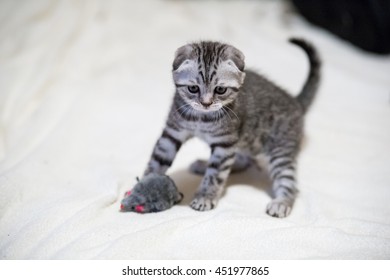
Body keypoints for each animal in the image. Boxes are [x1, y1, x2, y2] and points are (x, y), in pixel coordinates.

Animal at [143, 38, 320, 218]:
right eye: (193, 88)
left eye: (220, 90)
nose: (206, 103)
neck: (201, 118)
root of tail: (295, 102)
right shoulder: (172, 133)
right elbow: (158, 160)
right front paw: (147, 184)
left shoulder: (225, 143)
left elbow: (215, 174)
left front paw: (205, 197)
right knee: (242, 160)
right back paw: (203, 165)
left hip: (281, 150)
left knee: (289, 182)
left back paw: (282, 203)